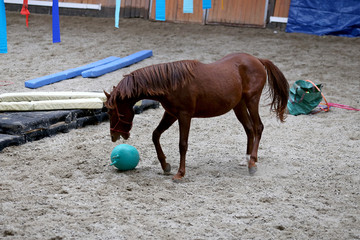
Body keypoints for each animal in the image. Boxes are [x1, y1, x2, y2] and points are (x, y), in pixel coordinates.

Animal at [104, 53, 290, 180]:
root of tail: (257, 60)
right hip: (239, 106)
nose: (113, 135)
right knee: (249, 129)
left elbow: (182, 144)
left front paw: (180, 173)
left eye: (111, 111)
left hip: (252, 100)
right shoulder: (171, 114)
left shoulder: (184, 116)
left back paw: (252, 163)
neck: (171, 82)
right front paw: (165, 165)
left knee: (258, 127)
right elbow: (155, 135)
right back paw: (247, 160)